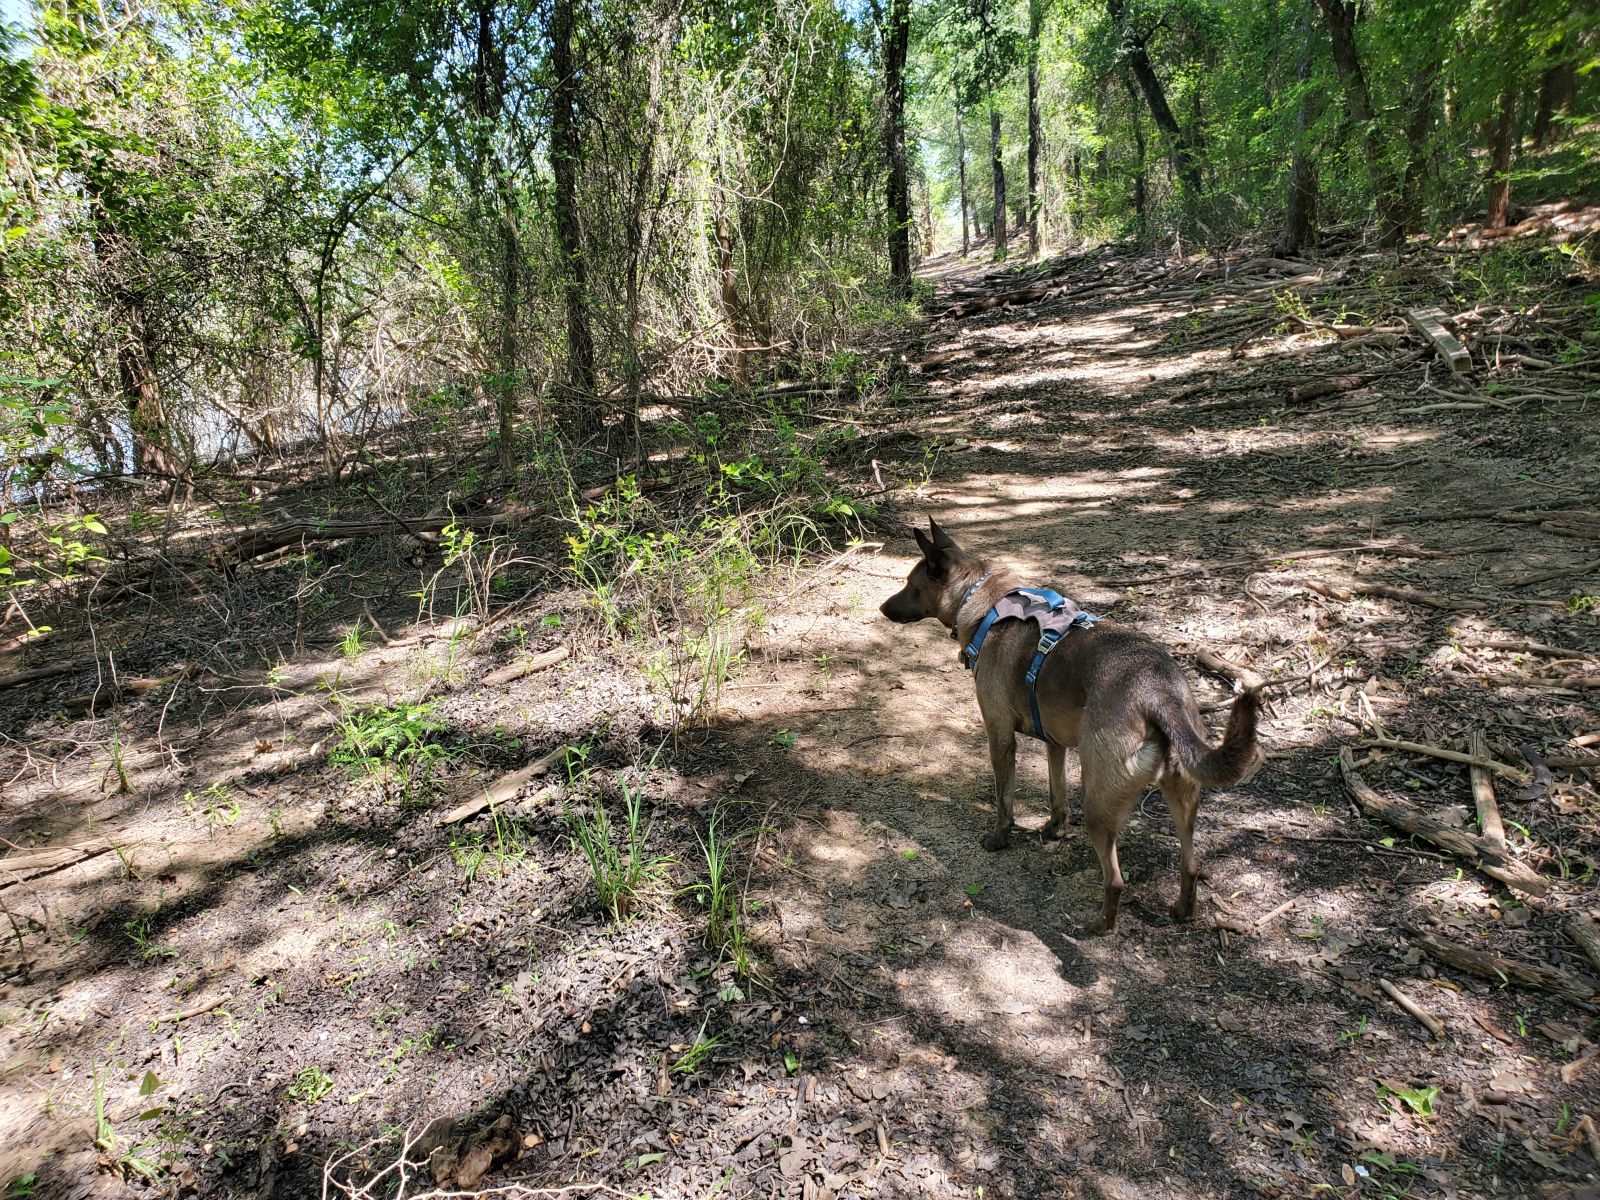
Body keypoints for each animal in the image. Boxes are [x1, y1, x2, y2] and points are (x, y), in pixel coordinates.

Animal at [876, 515, 1260, 928]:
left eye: (911, 585)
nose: (882, 608)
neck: (981, 601)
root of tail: (1158, 691)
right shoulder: (1054, 744)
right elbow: (1056, 793)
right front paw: (1055, 829)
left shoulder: (1000, 738)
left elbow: (1004, 801)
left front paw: (999, 838)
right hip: (1182, 799)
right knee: (1190, 866)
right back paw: (1182, 912)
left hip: (1098, 802)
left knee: (1115, 880)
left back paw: (1100, 926)